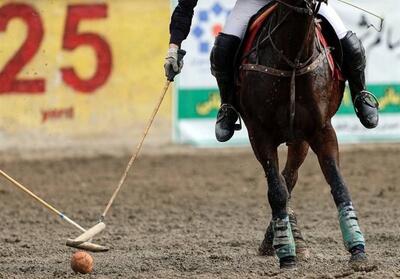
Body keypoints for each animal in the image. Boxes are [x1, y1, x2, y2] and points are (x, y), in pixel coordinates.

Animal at [238, 0, 368, 272]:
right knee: (283, 183)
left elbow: (338, 185)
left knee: (290, 177)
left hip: (299, 140)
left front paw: (357, 249)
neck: (293, 58)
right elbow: (276, 191)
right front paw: (286, 254)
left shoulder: (321, 130)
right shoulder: (259, 134)